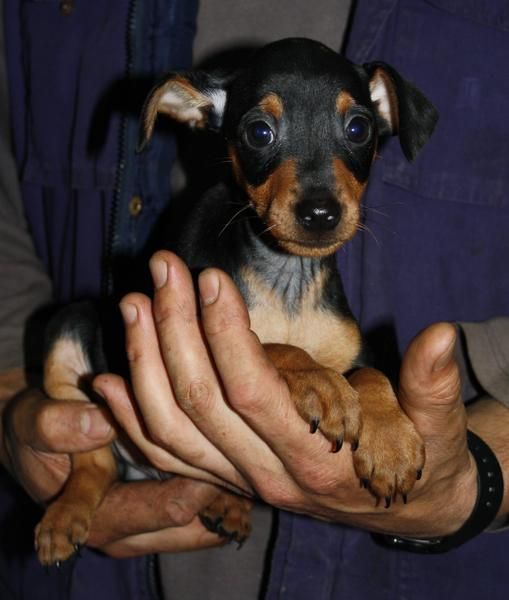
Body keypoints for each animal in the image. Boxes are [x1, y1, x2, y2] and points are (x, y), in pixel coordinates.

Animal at [37, 39, 438, 564]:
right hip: (69, 330)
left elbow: (371, 374)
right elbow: (272, 346)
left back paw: (225, 503)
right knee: (92, 463)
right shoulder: (192, 337)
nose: (320, 213)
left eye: (359, 128)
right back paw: (64, 517)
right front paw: (320, 382)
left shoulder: (355, 348)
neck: (286, 280)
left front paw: (391, 442)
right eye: (259, 132)